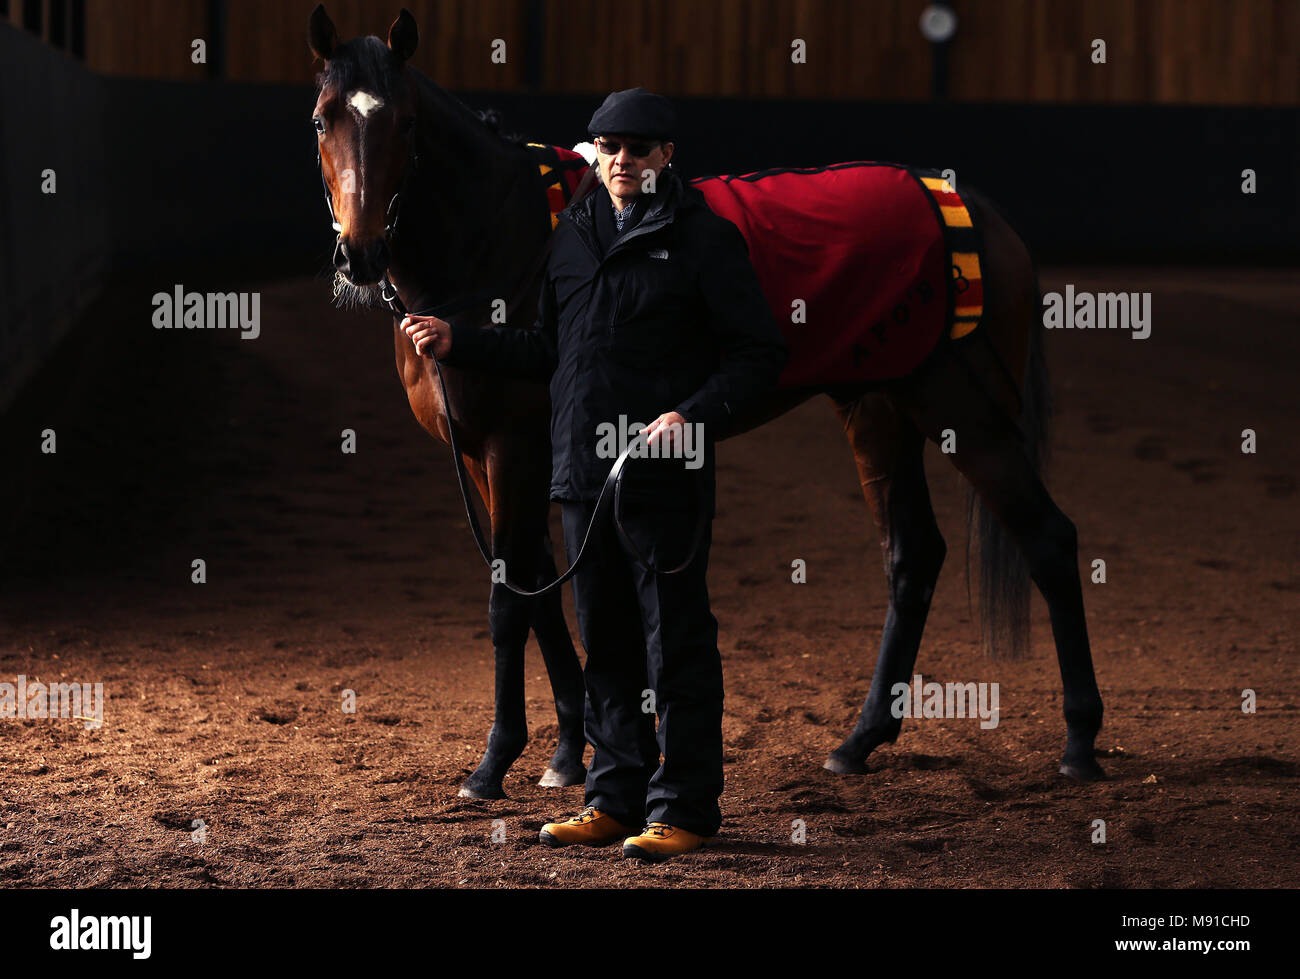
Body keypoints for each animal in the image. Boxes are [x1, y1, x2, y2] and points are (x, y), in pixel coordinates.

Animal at [306, 7, 1107, 795]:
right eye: (322, 119)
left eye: (407, 122)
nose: (361, 253)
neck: (506, 244)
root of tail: (972, 209)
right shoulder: (482, 454)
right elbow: (539, 595)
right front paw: (565, 750)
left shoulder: (516, 448)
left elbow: (512, 603)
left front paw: (495, 761)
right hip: (878, 408)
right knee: (913, 556)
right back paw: (859, 741)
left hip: (963, 411)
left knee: (1047, 537)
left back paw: (1079, 741)